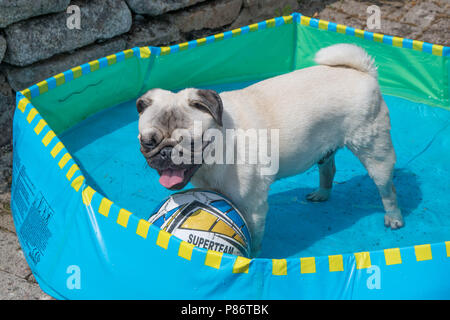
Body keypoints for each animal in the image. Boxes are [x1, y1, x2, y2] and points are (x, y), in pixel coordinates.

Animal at [138, 43, 404, 256]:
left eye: (191, 142)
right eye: (147, 142)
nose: (165, 153)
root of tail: (364, 73)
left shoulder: (252, 207)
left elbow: (254, 238)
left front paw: (250, 260)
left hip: (374, 151)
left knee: (388, 188)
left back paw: (394, 217)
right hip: (324, 151)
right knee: (328, 169)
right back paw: (322, 193)